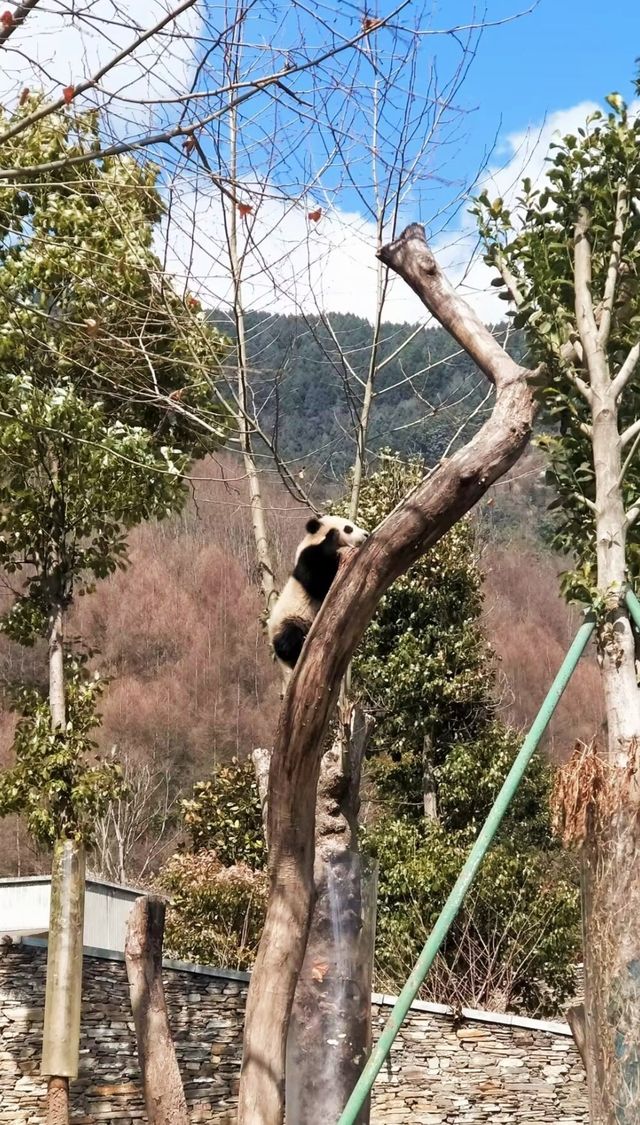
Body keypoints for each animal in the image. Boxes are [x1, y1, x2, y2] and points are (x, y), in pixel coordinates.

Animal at [266, 515, 366, 675]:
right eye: (348, 528)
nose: (366, 534)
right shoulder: (308, 556)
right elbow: (318, 582)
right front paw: (333, 535)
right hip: (288, 620)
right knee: (288, 639)